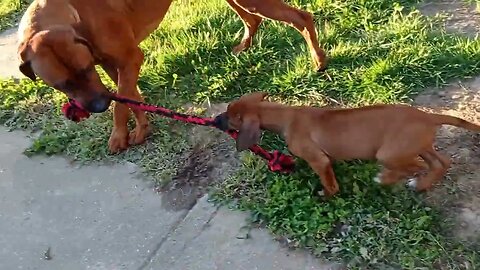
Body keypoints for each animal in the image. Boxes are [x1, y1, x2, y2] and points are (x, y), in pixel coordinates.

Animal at [16, 0, 328, 154]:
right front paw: (141, 128)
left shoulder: (128, 60)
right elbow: (131, 98)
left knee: (301, 17)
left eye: (85, 71)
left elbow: (121, 105)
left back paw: (318, 60)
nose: (97, 107)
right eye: (62, 85)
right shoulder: (115, 66)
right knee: (254, 19)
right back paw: (245, 46)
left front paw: (118, 135)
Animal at [216, 92, 480, 196]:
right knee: (441, 162)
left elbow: (329, 183)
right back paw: (422, 184)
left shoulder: (319, 160)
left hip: (389, 153)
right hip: (420, 146)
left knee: (414, 167)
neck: (286, 115)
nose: (216, 120)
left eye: (229, 116)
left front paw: (326, 194)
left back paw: (389, 179)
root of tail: (429, 116)